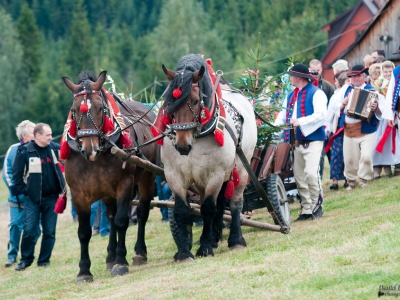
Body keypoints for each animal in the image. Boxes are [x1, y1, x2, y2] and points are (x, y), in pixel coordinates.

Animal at [62, 71, 159, 284]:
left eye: (100, 108)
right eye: (75, 109)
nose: (89, 148)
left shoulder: (125, 184)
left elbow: (122, 221)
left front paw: (121, 262)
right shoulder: (79, 194)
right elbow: (84, 232)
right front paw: (84, 271)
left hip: (147, 177)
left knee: (141, 212)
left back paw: (139, 253)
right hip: (106, 192)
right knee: (111, 216)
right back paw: (110, 256)